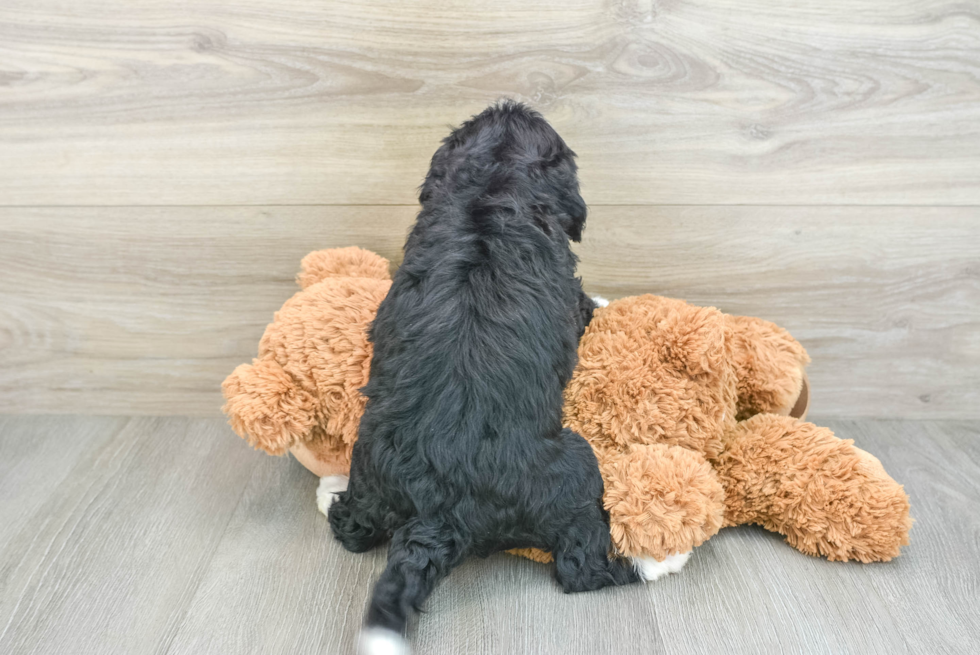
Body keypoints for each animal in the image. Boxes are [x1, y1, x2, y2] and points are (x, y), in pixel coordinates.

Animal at [326, 100, 640, 652]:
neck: (492, 187)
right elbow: (584, 305)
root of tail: (439, 513)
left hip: (369, 474)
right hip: (577, 466)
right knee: (578, 566)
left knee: (353, 528)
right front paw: (602, 301)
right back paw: (630, 568)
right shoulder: (568, 293)